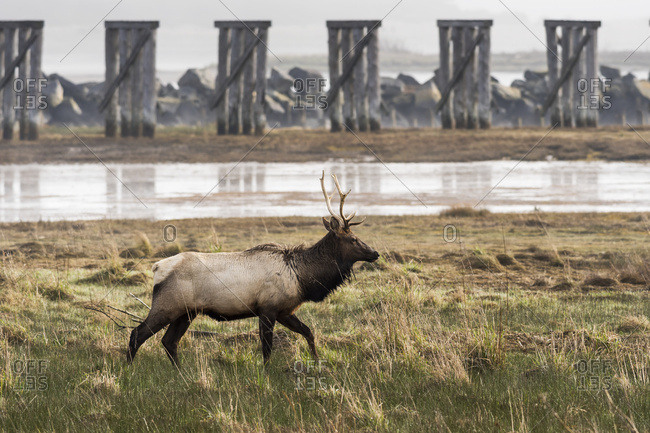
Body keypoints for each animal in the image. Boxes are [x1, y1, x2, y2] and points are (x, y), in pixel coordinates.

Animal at [127, 171, 379, 367]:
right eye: (354, 239)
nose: (375, 253)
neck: (302, 278)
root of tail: (157, 268)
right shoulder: (268, 307)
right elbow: (267, 348)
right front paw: (266, 375)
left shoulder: (285, 310)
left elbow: (308, 332)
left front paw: (317, 362)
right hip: (168, 305)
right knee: (137, 333)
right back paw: (128, 371)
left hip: (186, 312)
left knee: (169, 341)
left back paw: (181, 373)